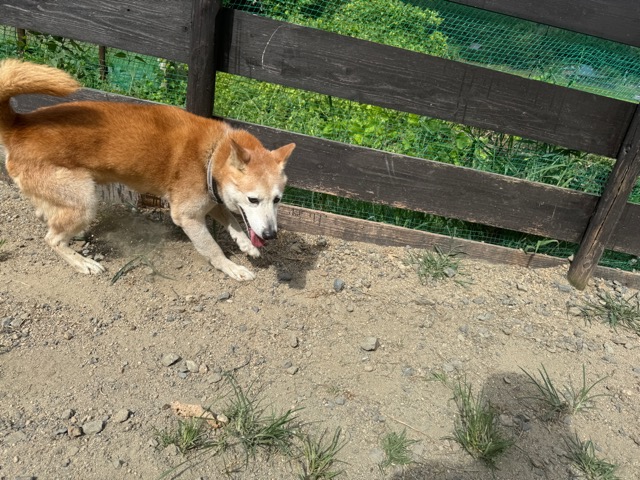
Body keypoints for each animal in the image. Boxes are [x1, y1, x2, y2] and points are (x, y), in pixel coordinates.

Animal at [0, 59, 295, 281]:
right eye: (253, 199)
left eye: (277, 200)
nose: (270, 235)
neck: (211, 155)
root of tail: (19, 125)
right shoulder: (187, 215)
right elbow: (212, 249)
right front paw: (232, 267)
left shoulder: (213, 199)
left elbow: (233, 220)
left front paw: (247, 245)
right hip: (85, 198)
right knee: (52, 239)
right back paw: (83, 262)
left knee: (48, 215)